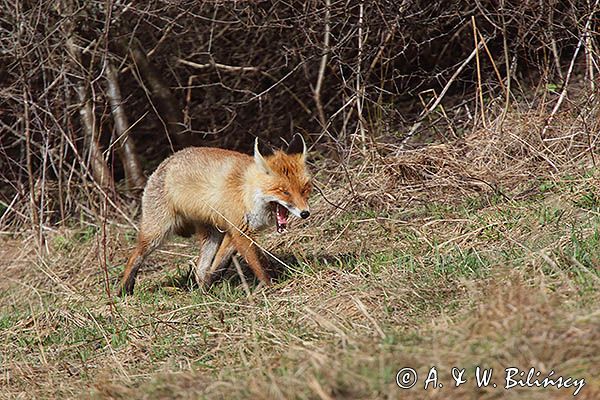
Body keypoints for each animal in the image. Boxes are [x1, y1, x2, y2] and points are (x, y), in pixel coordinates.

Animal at [119, 134, 312, 294]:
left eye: (304, 189)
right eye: (284, 192)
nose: (305, 213)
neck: (247, 193)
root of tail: (163, 163)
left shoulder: (234, 233)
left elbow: (220, 265)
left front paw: (210, 284)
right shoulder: (240, 232)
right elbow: (258, 264)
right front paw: (270, 286)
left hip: (212, 236)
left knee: (199, 270)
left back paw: (203, 291)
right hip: (156, 234)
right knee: (134, 257)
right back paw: (123, 290)